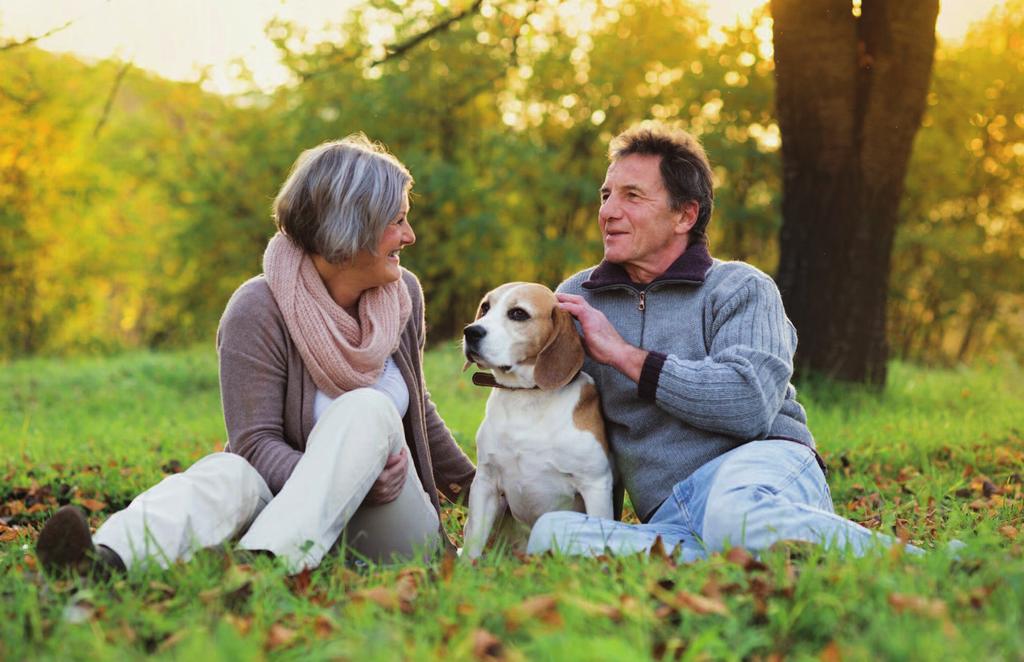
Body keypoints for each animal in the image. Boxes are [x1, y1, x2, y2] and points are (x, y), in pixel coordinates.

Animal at [460, 282, 610, 561]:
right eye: (485, 307)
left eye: (518, 313)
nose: (471, 331)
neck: (526, 397)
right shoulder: (486, 482)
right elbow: (473, 543)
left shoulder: (595, 484)